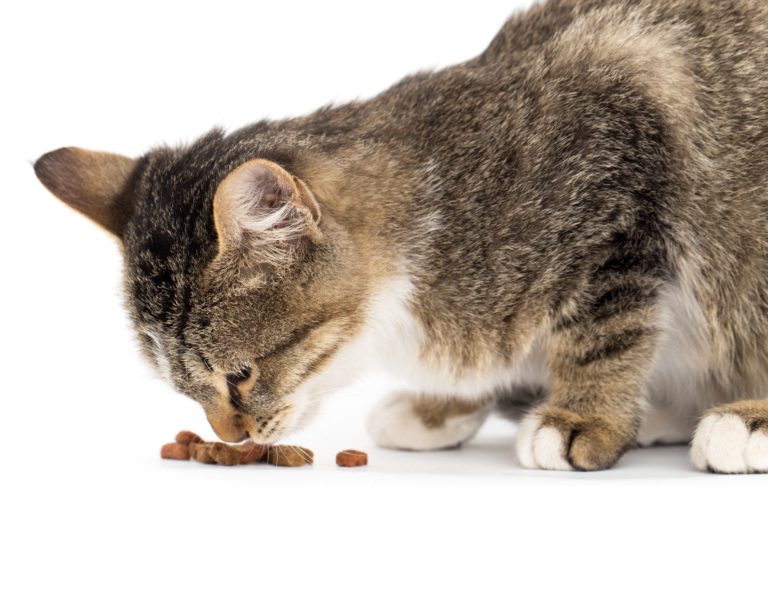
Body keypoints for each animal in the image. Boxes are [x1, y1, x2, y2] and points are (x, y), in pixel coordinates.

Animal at [34, 0, 768, 474]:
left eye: (239, 376)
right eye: (184, 387)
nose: (231, 435)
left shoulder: (618, 177)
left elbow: (601, 335)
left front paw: (581, 417)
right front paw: (439, 406)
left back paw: (740, 417)